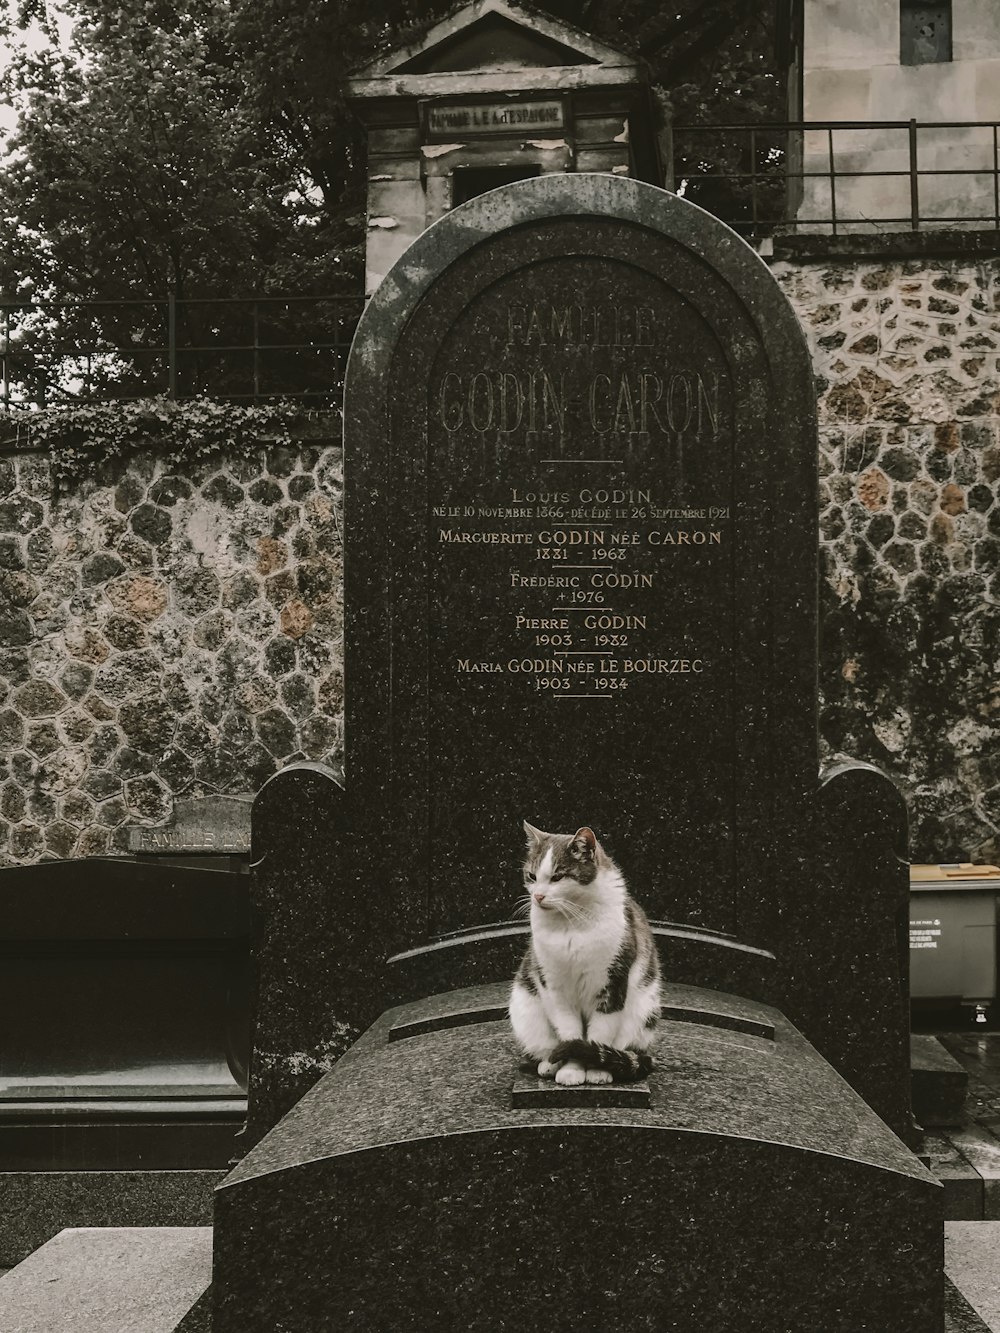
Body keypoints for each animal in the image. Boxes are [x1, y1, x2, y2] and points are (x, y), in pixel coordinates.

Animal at [509, 815, 666, 1087]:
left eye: (558, 877)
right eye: (532, 876)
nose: (538, 896)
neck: (571, 923)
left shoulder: (612, 984)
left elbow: (599, 1034)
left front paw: (596, 1070)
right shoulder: (555, 987)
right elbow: (569, 1033)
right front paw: (571, 1070)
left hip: (644, 1011)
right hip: (525, 1008)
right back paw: (548, 1064)